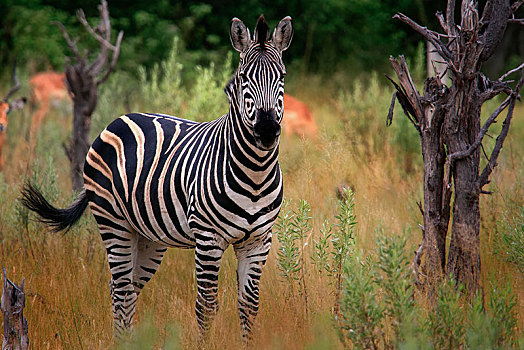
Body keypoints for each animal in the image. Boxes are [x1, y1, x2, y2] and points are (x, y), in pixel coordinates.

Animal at [21, 14, 290, 342]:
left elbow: (249, 307)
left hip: (148, 235)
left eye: (282, 77)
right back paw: (120, 342)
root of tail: (119, 119)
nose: (266, 131)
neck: (254, 172)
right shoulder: (208, 238)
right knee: (121, 289)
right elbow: (206, 306)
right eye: (243, 79)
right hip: (113, 222)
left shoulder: (258, 241)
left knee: (126, 287)